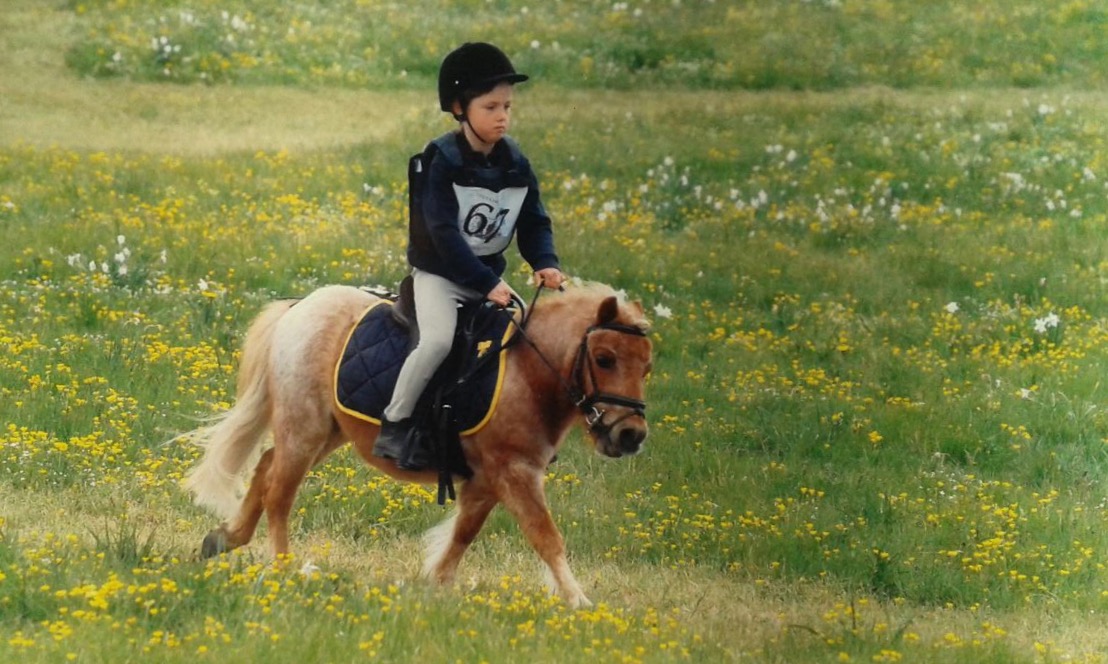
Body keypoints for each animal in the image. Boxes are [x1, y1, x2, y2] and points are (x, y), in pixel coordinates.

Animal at [180, 280, 647, 607]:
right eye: (604, 359)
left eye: (647, 366)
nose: (631, 435)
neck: (527, 372)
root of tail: (300, 306)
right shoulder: (516, 472)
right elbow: (546, 537)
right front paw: (579, 602)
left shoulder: (486, 480)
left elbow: (463, 534)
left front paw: (435, 587)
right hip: (304, 428)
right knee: (279, 492)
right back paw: (284, 570)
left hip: (325, 433)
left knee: (264, 468)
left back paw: (225, 538)